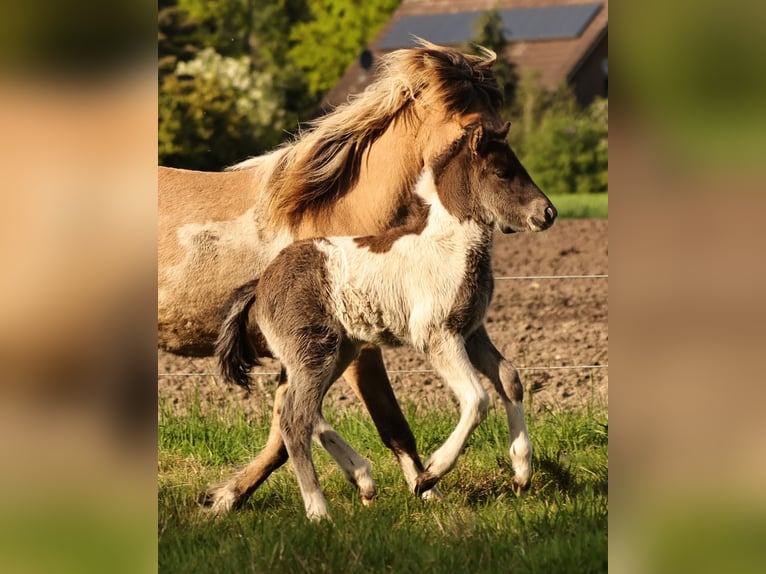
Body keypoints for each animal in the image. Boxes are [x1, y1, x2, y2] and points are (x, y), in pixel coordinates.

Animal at [159, 40, 518, 513]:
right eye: (473, 128)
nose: (541, 211)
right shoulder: (356, 347)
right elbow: (386, 422)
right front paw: (425, 485)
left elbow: (288, 426)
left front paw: (227, 496)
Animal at [216, 123, 556, 520]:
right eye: (503, 171)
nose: (548, 212)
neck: (450, 248)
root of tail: (261, 283)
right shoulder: (438, 335)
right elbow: (477, 398)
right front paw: (430, 474)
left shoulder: (471, 331)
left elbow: (509, 378)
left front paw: (521, 472)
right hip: (314, 352)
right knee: (294, 418)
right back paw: (319, 510)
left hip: (336, 351)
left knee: (298, 407)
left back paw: (362, 478)